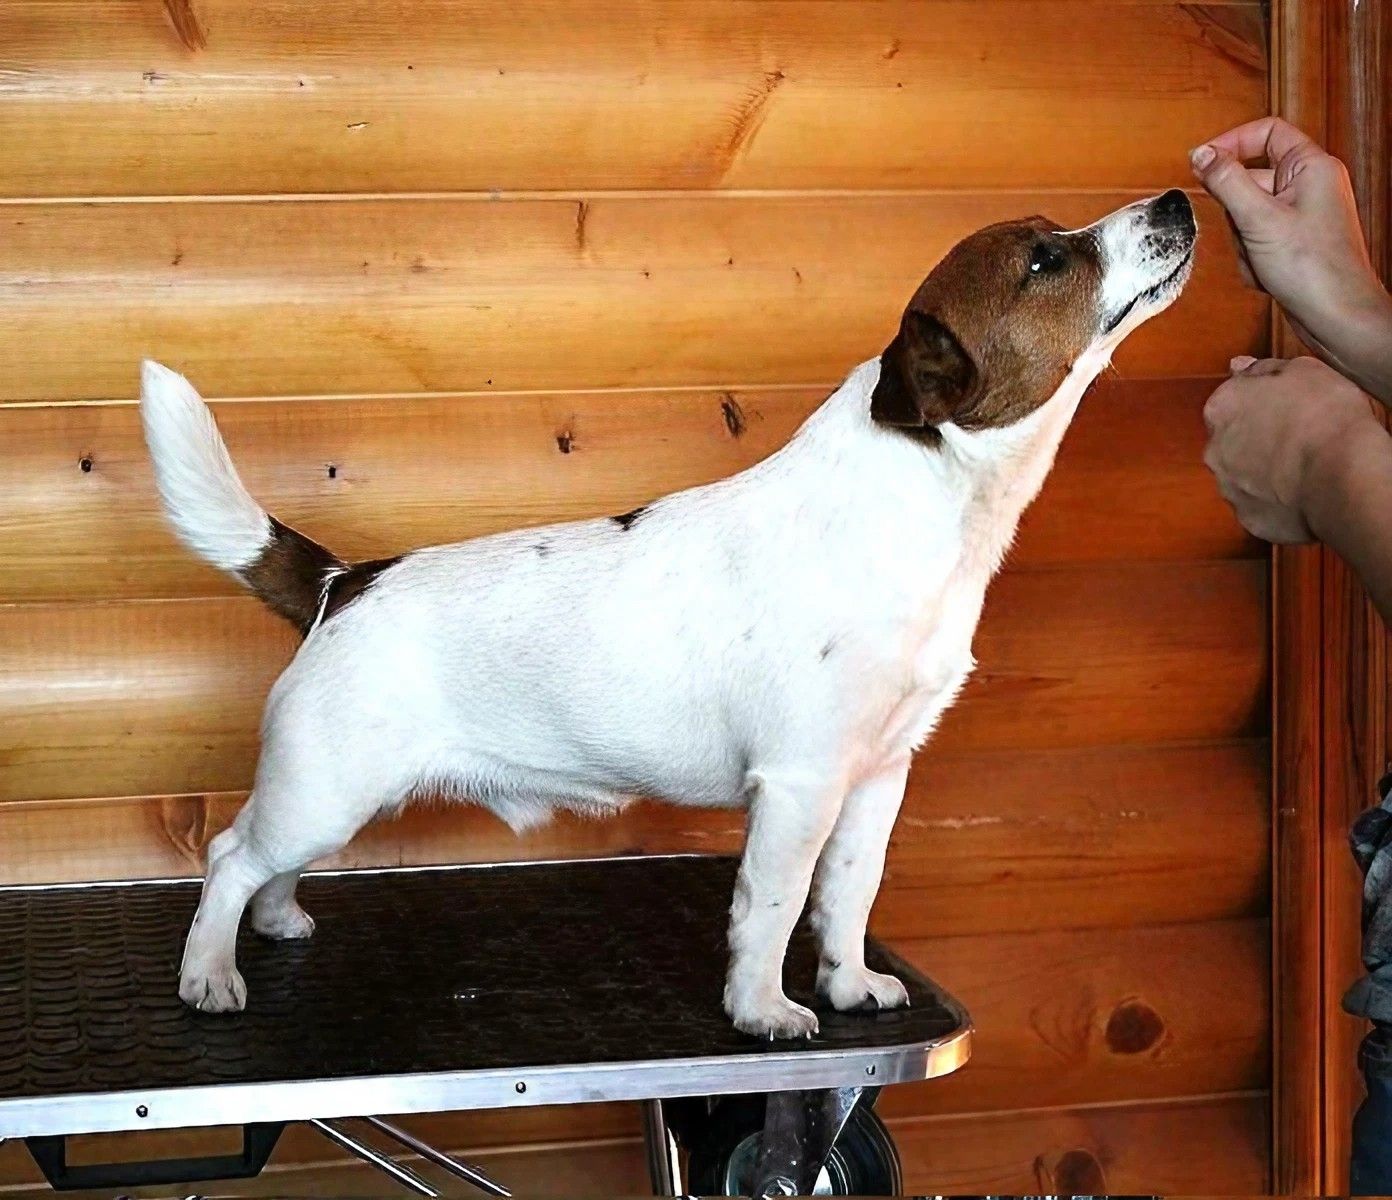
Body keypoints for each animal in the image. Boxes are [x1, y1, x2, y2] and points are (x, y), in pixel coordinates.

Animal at [140, 190, 1195, 1039]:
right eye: (1044, 260)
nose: (1180, 199)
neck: (922, 501)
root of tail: (342, 582)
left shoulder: (878, 776)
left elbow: (849, 898)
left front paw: (850, 985)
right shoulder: (800, 784)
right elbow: (775, 907)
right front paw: (764, 1009)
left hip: (329, 797)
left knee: (268, 864)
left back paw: (275, 922)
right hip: (324, 789)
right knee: (231, 857)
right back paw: (209, 974)